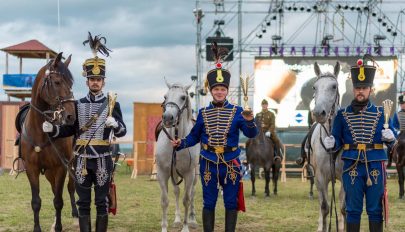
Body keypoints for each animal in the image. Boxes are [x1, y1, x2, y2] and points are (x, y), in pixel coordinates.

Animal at [18, 53, 78, 232]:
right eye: (57, 82)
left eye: (71, 83)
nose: (71, 117)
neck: (40, 131)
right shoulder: (32, 168)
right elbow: (36, 202)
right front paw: (38, 228)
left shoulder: (61, 167)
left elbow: (58, 201)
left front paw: (58, 227)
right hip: (50, 172)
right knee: (54, 190)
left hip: (71, 165)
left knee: (71, 188)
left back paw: (76, 216)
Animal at [155, 80, 199, 232]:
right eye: (165, 96)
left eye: (183, 97)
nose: (168, 118)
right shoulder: (162, 173)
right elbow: (164, 200)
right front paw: (164, 227)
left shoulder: (189, 174)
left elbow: (187, 199)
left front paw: (185, 227)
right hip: (174, 173)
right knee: (176, 191)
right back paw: (177, 219)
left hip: (195, 174)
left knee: (192, 194)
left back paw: (192, 220)